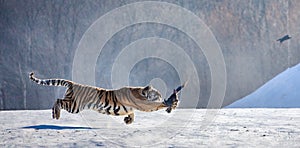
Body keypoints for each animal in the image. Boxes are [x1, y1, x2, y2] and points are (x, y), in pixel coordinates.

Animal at [29, 71, 184, 123]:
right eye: (157, 94)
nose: (161, 97)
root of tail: (73, 83)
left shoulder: (131, 108)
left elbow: (132, 114)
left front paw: (128, 121)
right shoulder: (143, 105)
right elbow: (155, 106)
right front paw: (169, 103)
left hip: (73, 104)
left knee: (58, 101)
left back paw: (54, 114)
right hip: (74, 106)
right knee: (58, 101)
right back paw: (56, 114)